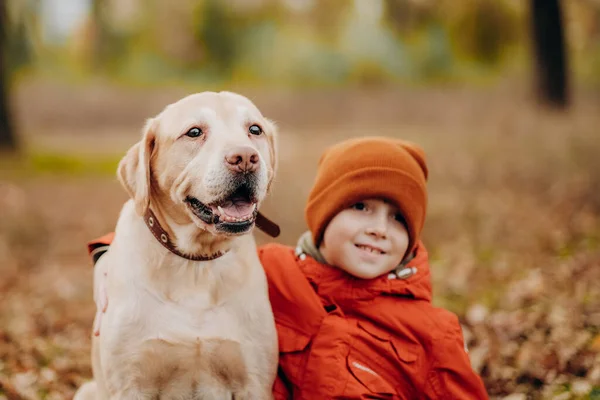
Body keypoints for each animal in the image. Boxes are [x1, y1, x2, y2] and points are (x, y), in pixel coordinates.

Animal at [74, 91, 278, 400]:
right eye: (194, 132)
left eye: (255, 129)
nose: (245, 158)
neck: (195, 262)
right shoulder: (130, 383)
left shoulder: (253, 382)